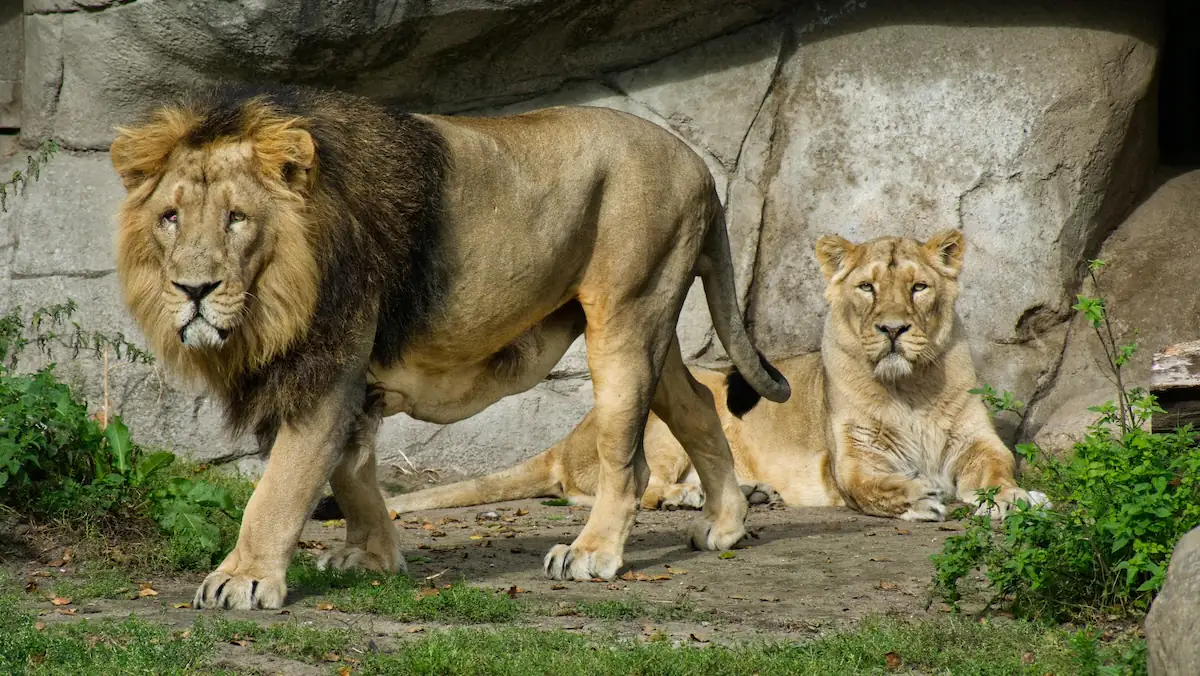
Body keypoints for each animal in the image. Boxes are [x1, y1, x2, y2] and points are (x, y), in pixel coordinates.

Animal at [109, 84, 791, 610]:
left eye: (236, 218)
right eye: (170, 217)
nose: (193, 289)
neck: (276, 296)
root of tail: (699, 167)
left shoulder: (329, 368)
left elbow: (281, 485)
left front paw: (242, 579)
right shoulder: (350, 380)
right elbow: (351, 471)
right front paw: (373, 558)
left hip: (627, 314)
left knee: (629, 459)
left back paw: (592, 554)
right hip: (650, 322)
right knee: (698, 405)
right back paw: (725, 525)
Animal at [383, 230, 1046, 522]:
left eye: (918, 287)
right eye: (866, 287)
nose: (892, 329)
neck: (908, 386)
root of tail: (564, 439)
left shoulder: (977, 442)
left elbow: (997, 471)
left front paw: (1017, 499)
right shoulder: (851, 460)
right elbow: (877, 486)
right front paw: (921, 497)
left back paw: (749, 492)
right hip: (665, 409)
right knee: (629, 486)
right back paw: (694, 496)